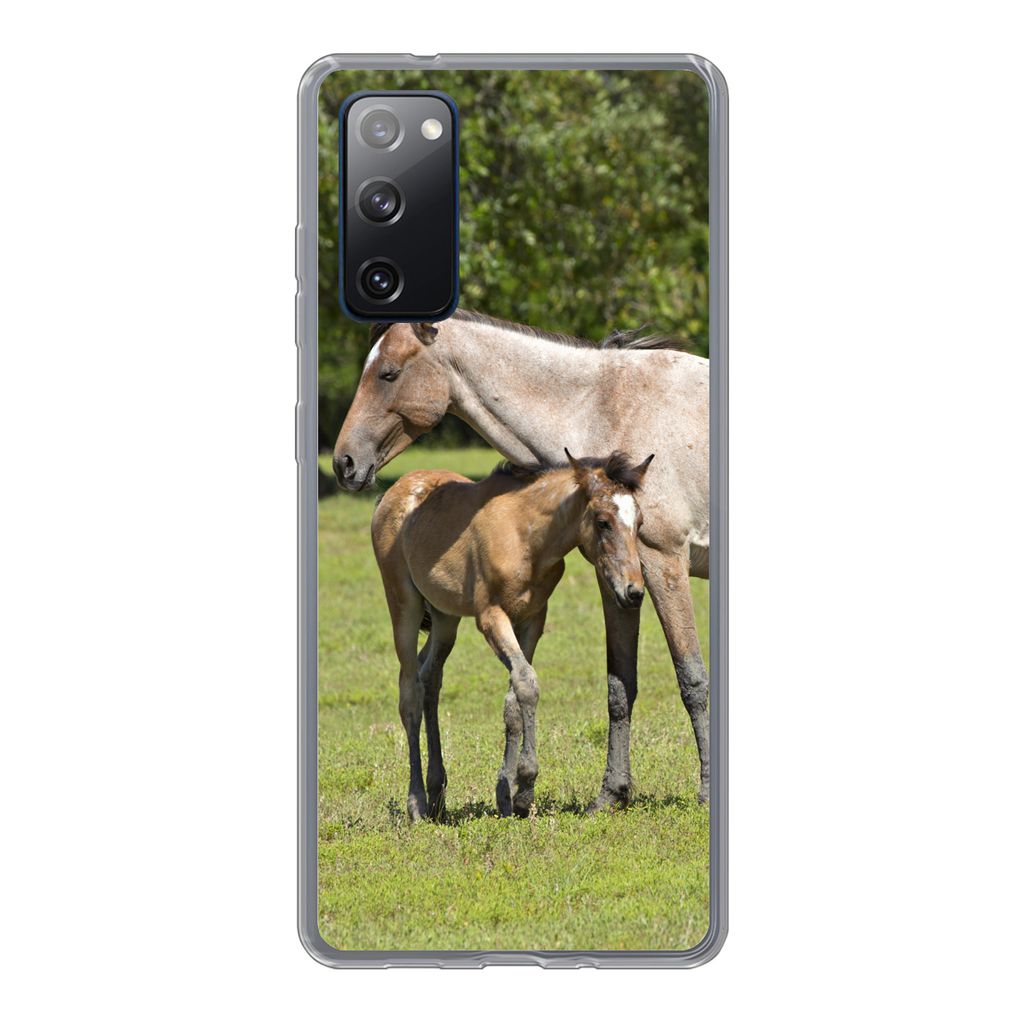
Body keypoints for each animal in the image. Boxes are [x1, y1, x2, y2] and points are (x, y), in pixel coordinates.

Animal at [371, 450, 652, 820]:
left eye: (640, 523)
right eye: (603, 521)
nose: (633, 592)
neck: (526, 538)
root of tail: (391, 493)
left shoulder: (533, 618)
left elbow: (513, 700)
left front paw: (507, 795)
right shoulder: (491, 616)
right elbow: (527, 684)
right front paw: (526, 786)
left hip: (446, 618)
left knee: (430, 677)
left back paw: (437, 794)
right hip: (403, 603)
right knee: (410, 692)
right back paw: (416, 802)